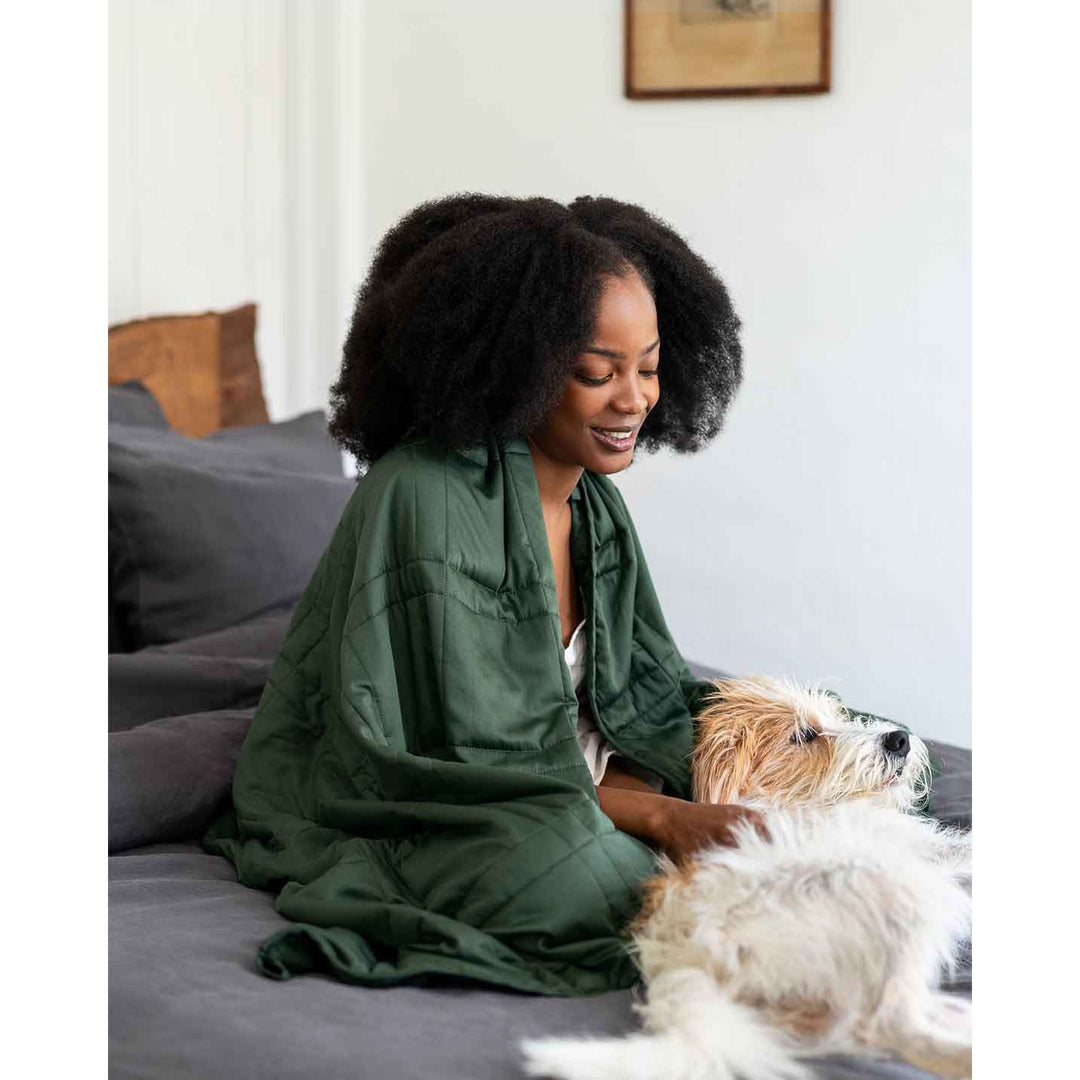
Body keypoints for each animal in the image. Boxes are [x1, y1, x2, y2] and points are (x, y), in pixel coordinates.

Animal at [520, 673, 972, 1080]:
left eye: (836, 717)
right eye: (804, 735)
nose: (900, 739)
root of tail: (683, 955)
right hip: (898, 886)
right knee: (887, 1025)